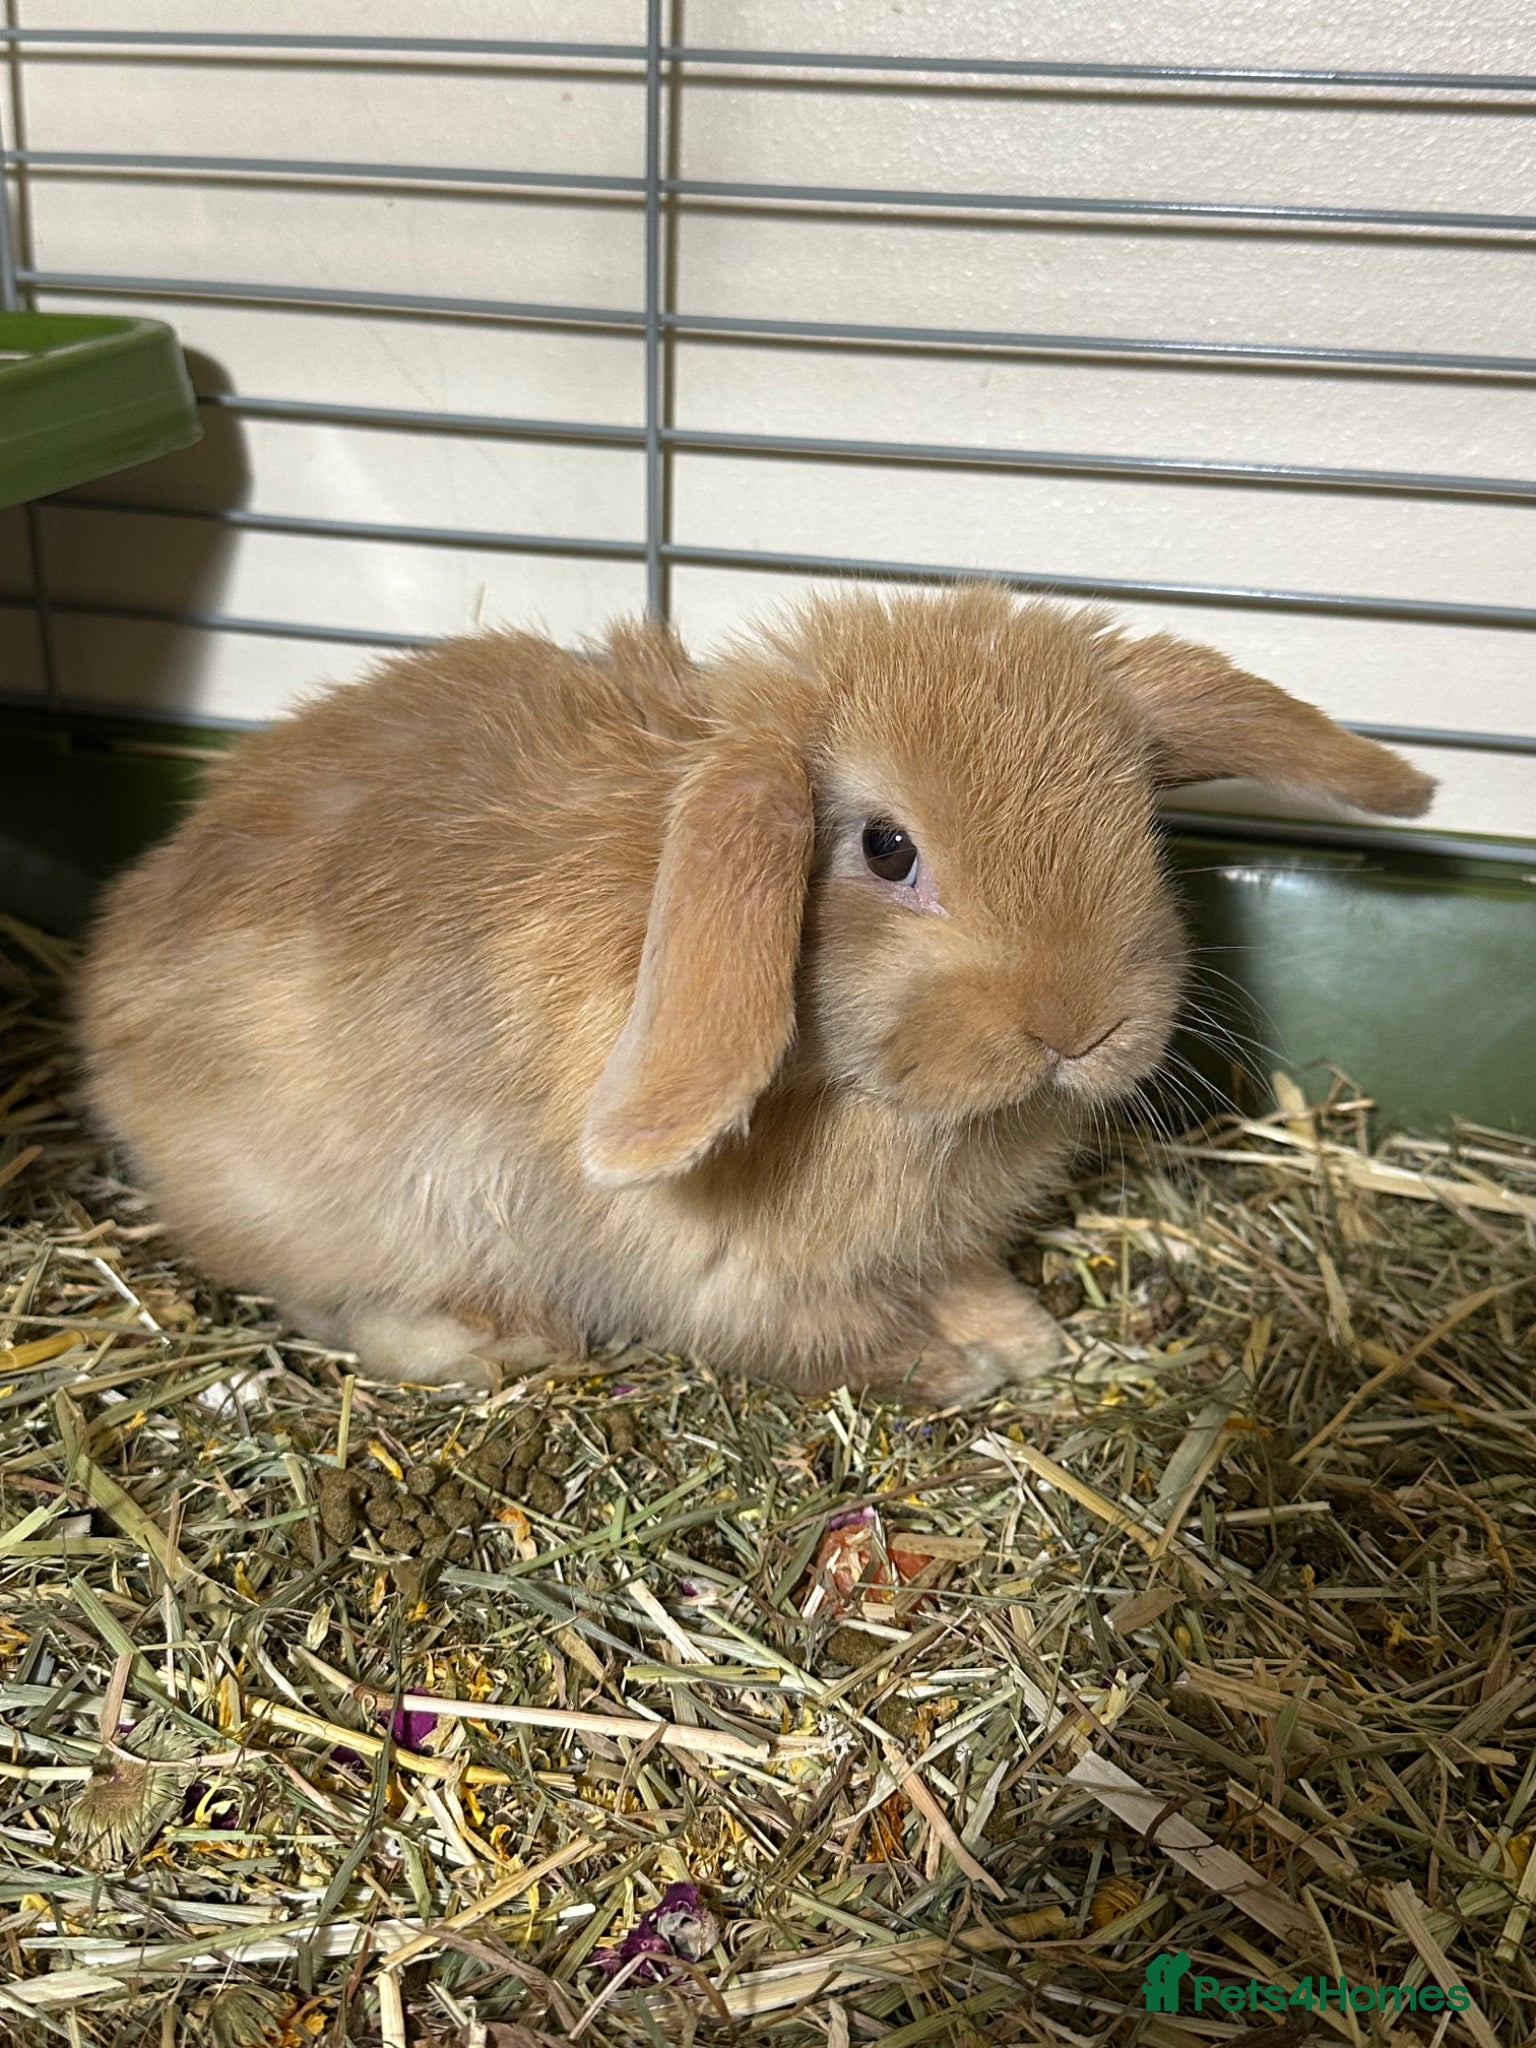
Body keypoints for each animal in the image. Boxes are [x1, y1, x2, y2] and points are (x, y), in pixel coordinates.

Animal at [77, 586, 1434, 1406]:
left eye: (1140, 820)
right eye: (887, 848)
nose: (1081, 1027)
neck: (873, 1100)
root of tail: (108, 982)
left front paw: (1023, 1335)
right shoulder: (737, 1278)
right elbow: (833, 1340)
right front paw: (961, 1369)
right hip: (337, 1199)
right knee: (327, 1297)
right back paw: (485, 1342)